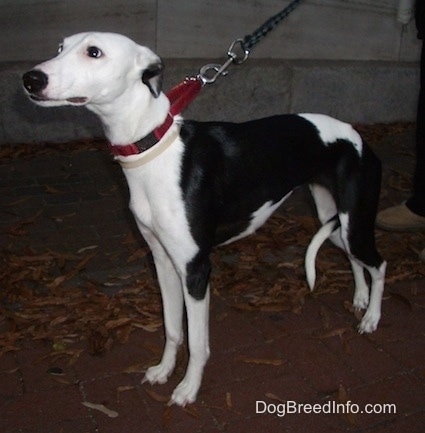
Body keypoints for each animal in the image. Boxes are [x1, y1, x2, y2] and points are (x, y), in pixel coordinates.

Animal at [24, 31, 386, 404]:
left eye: (94, 52)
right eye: (60, 47)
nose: (30, 79)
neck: (154, 148)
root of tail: (356, 135)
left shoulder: (196, 270)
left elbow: (198, 344)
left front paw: (188, 387)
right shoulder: (164, 262)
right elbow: (172, 329)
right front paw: (164, 370)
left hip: (354, 221)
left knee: (380, 264)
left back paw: (372, 317)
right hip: (336, 220)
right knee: (354, 257)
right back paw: (359, 298)